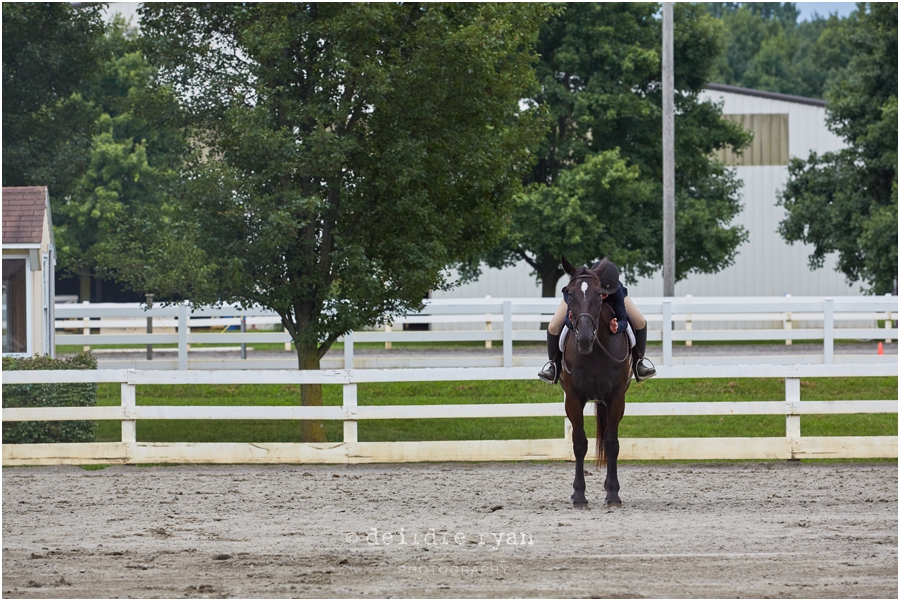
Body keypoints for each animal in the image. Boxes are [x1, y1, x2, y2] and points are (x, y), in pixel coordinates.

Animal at [556, 254, 632, 506]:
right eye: (569, 293)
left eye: (600, 295)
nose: (585, 339)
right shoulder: (573, 399)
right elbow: (579, 443)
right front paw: (579, 494)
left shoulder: (616, 398)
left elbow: (611, 443)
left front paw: (613, 493)